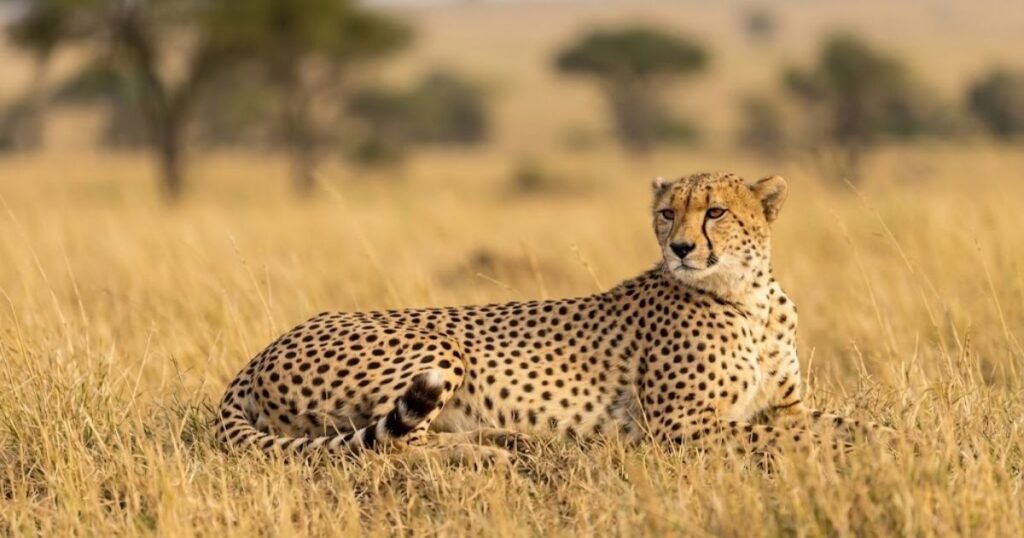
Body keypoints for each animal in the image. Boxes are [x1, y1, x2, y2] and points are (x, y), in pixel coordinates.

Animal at [215, 171, 889, 461]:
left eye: (716, 212)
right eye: (667, 213)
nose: (680, 247)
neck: (748, 298)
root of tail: (264, 349)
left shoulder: (785, 402)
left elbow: (837, 421)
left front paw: (894, 439)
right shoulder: (679, 427)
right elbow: (779, 435)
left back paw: (513, 439)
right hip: (438, 346)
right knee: (390, 446)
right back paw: (492, 455)